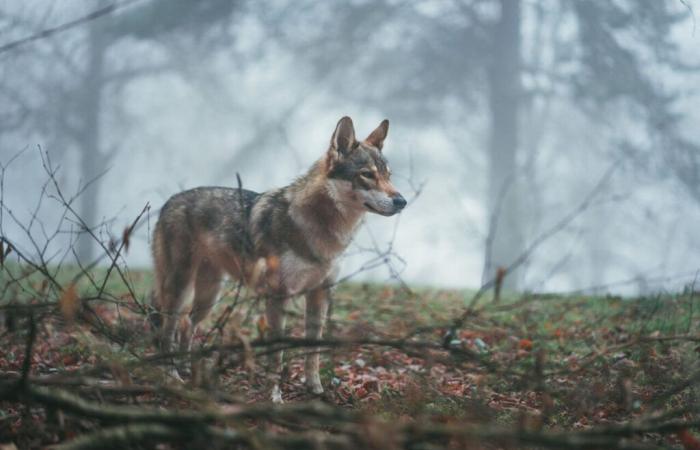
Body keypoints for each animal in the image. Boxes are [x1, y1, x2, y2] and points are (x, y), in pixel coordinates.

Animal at [150, 116, 408, 400]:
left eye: (388, 175)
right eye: (367, 174)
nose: (402, 201)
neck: (320, 228)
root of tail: (169, 202)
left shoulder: (319, 294)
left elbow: (313, 351)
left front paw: (315, 389)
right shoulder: (277, 296)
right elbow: (277, 356)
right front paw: (275, 396)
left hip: (209, 295)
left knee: (186, 325)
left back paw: (185, 369)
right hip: (180, 288)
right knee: (167, 331)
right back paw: (172, 376)